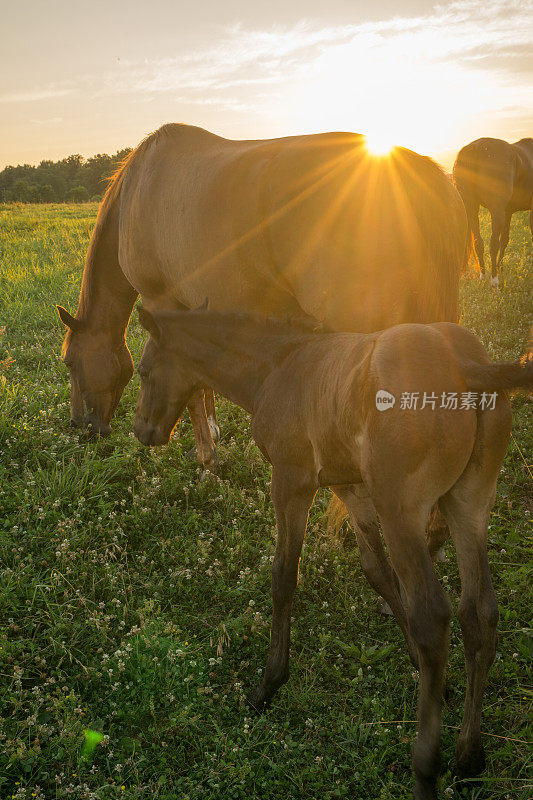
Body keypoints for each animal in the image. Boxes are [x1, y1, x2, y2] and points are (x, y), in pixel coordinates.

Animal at [134, 308, 532, 800]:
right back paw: (469, 755)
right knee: (478, 613)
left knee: (434, 618)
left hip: (401, 509)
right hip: (470, 502)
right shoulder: (350, 486)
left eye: (142, 371)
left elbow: (284, 576)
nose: (141, 430)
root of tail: (470, 367)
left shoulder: (292, 481)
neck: (278, 367)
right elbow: (377, 572)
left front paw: (270, 682)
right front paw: (430, 679)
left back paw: (426, 767)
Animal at [454, 136, 532, 286]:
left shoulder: (508, 211)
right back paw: (494, 280)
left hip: (472, 208)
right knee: (493, 243)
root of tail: (476, 147)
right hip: (496, 211)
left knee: (479, 242)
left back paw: (484, 275)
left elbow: (505, 240)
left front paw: (500, 267)